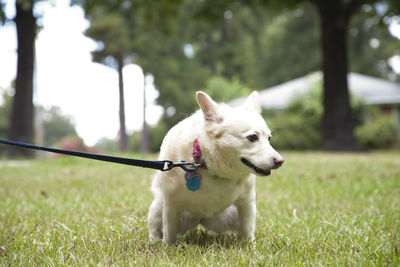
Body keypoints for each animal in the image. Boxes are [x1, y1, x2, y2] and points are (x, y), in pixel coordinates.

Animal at [148, 91, 284, 245]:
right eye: (252, 137)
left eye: (269, 138)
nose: (280, 161)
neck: (212, 169)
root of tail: (201, 219)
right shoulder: (171, 206)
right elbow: (169, 233)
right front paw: (168, 248)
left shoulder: (247, 203)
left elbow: (248, 230)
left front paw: (251, 246)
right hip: (157, 208)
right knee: (155, 228)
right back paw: (154, 241)